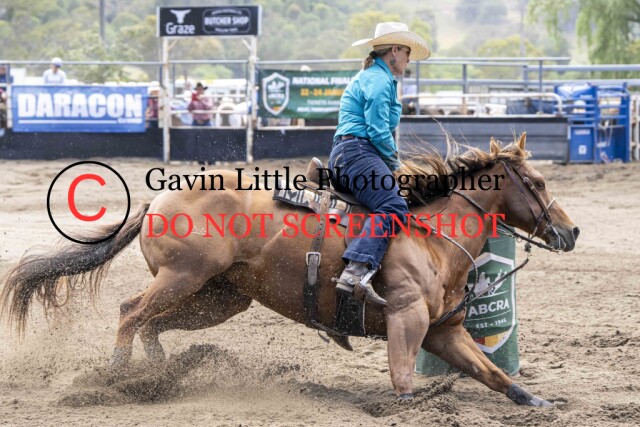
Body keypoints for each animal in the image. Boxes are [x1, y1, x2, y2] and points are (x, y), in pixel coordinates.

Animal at [1, 133, 579, 406]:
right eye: (538, 183)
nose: (571, 232)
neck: (433, 238)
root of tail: (155, 201)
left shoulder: (445, 331)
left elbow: (496, 375)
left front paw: (538, 400)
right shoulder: (407, 320)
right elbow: (402, 379)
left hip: (219, 298)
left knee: (150, 323)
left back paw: (159, 375)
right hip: (181, 279)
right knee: (129, 312)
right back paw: (118, 376)